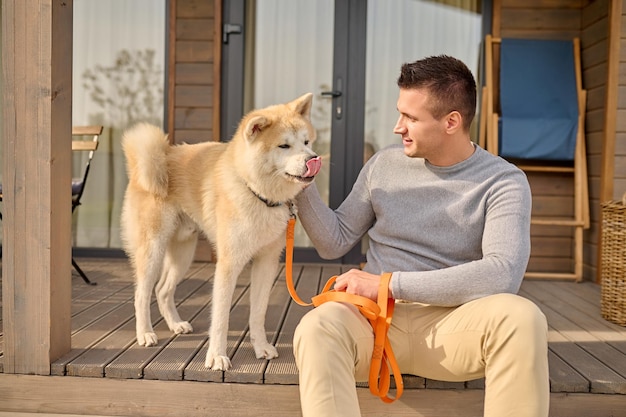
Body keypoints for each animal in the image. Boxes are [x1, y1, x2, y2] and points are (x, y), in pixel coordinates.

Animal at [120, 92, 320, 368]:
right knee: (142, 293)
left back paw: (176, 324)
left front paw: (261, 347)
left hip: (183, 254)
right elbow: (221, 317)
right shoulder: (228, 263)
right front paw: (216, 356)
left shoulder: (266, 262)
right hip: (153, 250)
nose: (313, 159)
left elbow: (258, 313)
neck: (258, 193)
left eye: (306, 141)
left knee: (162, 290)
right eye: (284, 146)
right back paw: (145, 333)